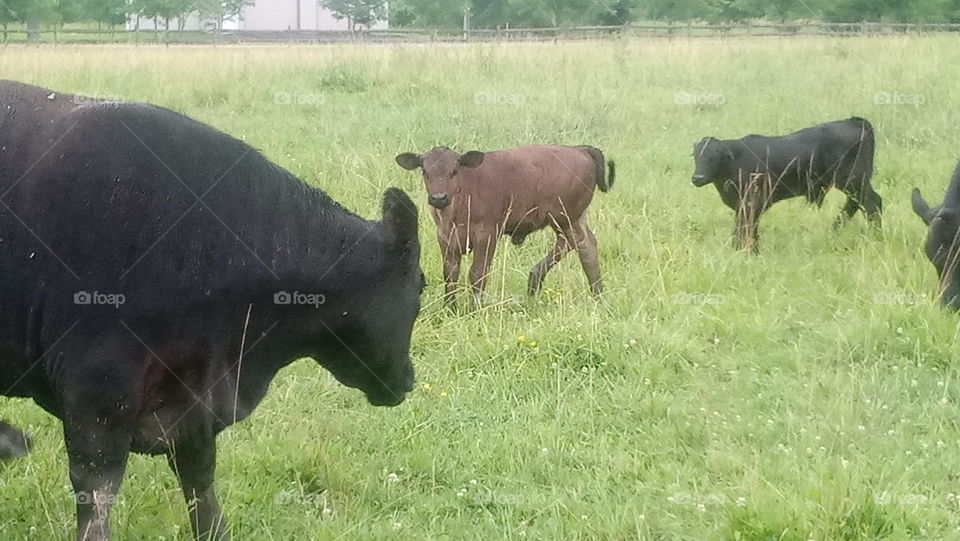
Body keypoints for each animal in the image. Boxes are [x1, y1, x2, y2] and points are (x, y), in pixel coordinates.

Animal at [0, 80, 424, 541]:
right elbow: (96, 489)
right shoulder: (97, 388)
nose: (409, 378)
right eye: (422, 285)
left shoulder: (193, 399)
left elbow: (199, 481)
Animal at [394, 145, 614, 306]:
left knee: (582, 244)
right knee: (576, 243)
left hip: (566, 217)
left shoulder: (487, 234)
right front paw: (449, 308)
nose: (438, 198)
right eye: (424, 171)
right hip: (569, 219)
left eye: (454, 171)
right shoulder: (445, 237)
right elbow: (450, 273)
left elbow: (477, 273)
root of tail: (579, 149)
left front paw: (475, 308)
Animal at [691, 117, 881, 252]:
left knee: (873, 202)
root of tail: (853, 121)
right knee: (855, 204)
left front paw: (747, 250)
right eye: (696, 156)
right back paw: (834, 229)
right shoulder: (743, 204)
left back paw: (875, 235)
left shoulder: (754, 201)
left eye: (714, 157)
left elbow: (744, 227)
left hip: (854, 179)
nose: (697, 177)